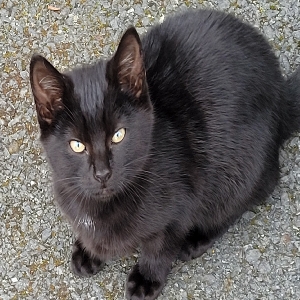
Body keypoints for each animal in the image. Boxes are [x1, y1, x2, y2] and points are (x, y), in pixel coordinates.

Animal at [29, 9, 298, 300]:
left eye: (118, 135)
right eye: (77, 145)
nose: (102, 173)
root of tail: (282, 94)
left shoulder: (182, 204)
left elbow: (159, 247)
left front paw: (146, 279)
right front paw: (88, 250)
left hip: (241, 168)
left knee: (240, 202)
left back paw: (195, 240)